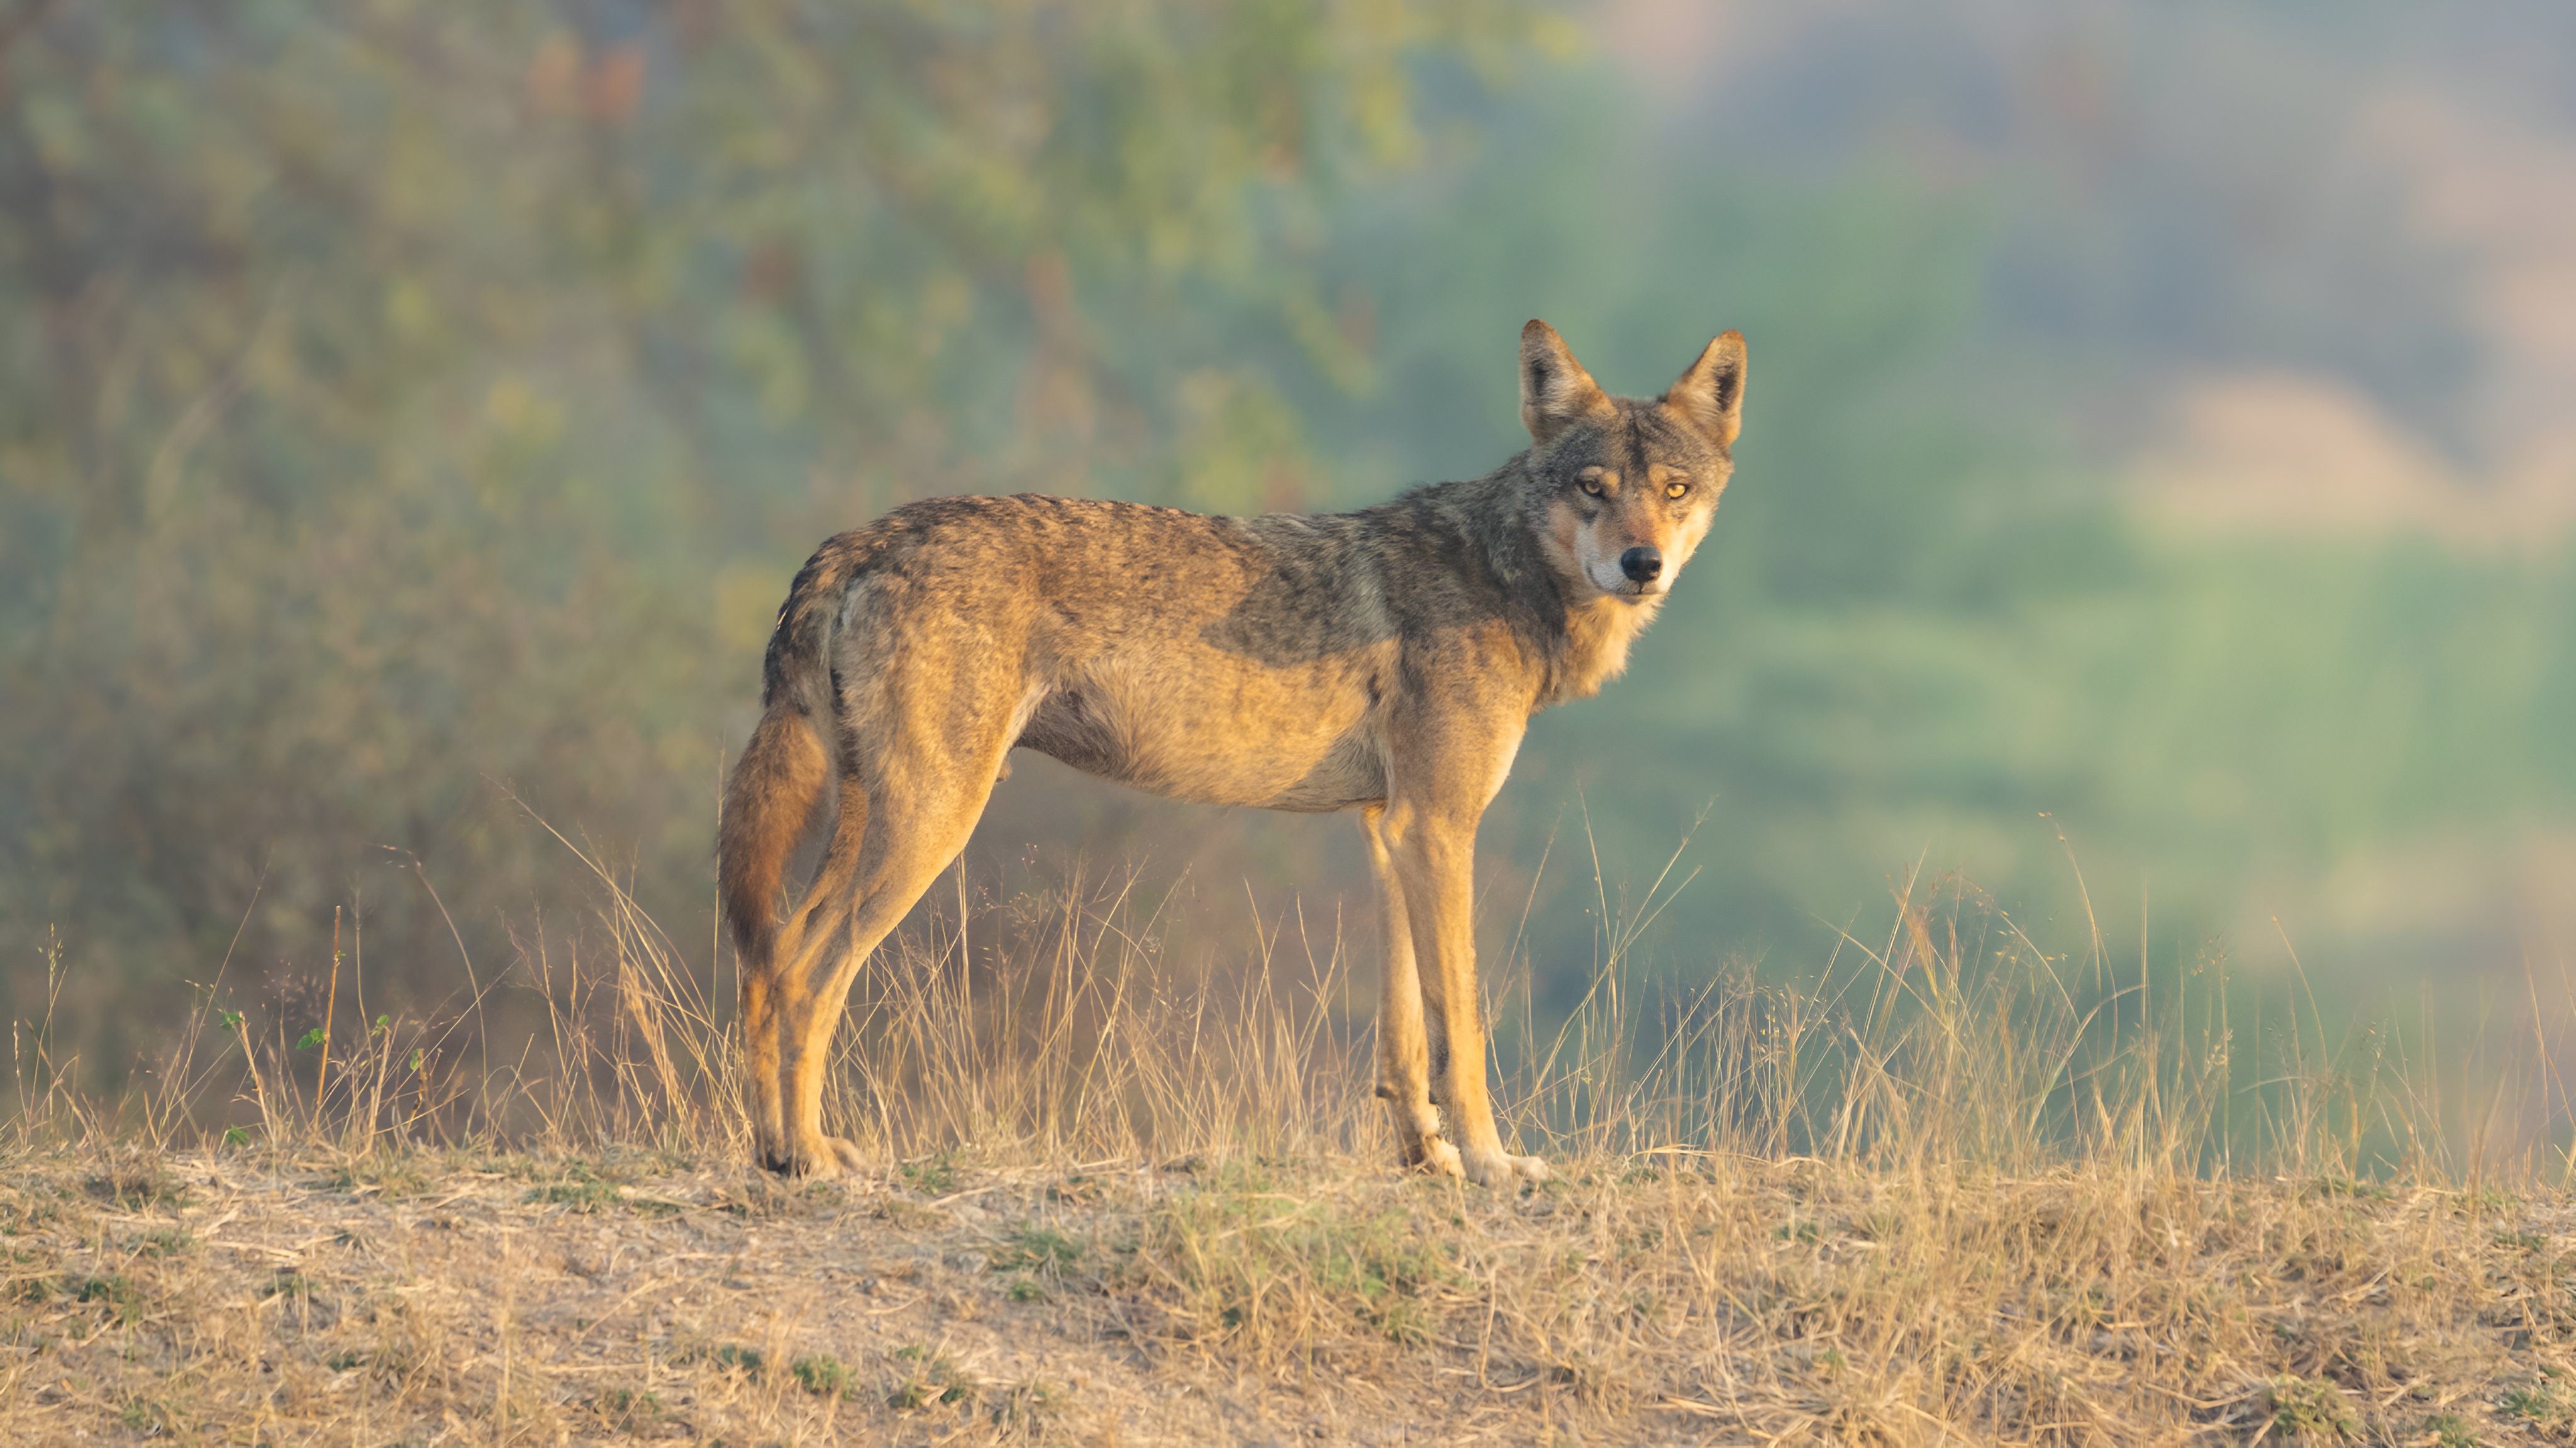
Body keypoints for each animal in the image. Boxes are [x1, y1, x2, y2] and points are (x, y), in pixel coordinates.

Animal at [718, 320, 1745, 1185]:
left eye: (1674, 491)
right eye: (1592, 488)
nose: (1642, 565)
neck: (1503, 572)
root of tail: (861, 536)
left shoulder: (1389, 830)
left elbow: (1406, 1033)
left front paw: (1429, 1158)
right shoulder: (1440, 826)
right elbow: (1464, 1028)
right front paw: (1494, 1164)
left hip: (873, 824)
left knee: (768, 965)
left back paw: (776, 1152)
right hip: (932, 825)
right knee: (806, 977)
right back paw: (810, 1157)